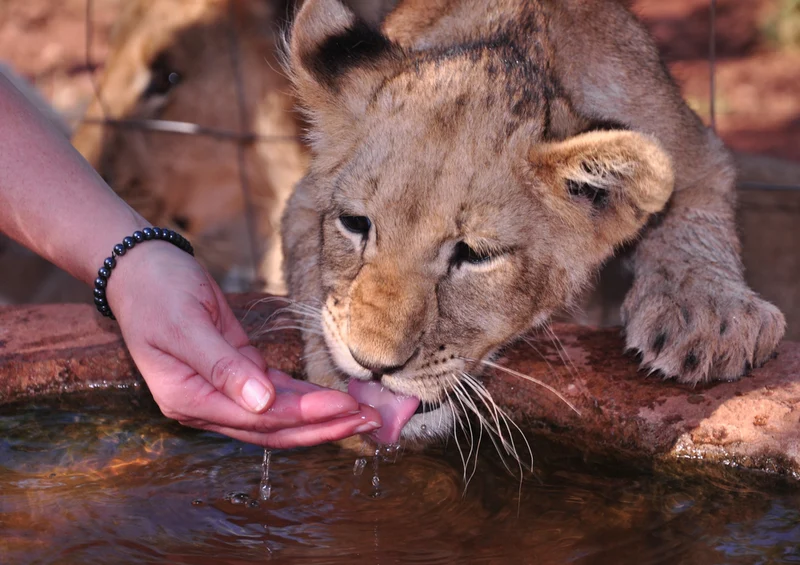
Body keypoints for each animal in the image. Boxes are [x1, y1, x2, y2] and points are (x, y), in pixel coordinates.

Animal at [281, 0, 786, 450]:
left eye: (475, 255)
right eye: (355, 223)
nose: (372, 365)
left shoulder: (695, 153)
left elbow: (691, 216)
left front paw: (708, 316)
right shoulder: (304, 197)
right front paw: (330, 380)